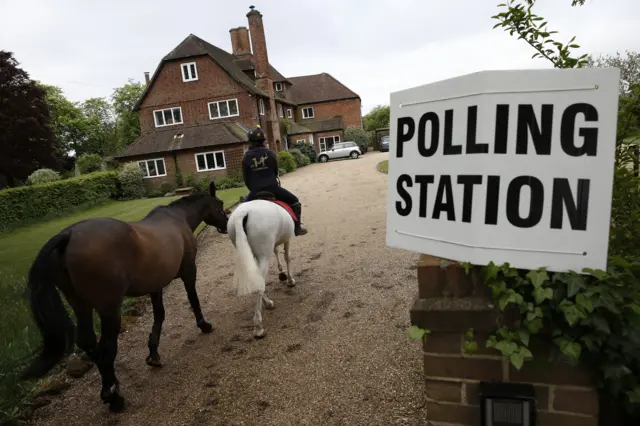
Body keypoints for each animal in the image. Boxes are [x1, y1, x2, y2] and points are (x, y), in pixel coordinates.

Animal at [20, 181, 230, 412]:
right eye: (220, 204)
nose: (227, 224)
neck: (178, 218)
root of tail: (69, 235)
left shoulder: (155, 285)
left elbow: (159, 315)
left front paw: (153, 354)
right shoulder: (189, 271)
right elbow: (193, 299)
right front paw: (204, 325)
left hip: (80, 304)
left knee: (87, 342)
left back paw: (110, 386)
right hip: (109, 308)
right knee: (105, 346)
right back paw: (113, 395)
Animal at [226, 198, 296, 338]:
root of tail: (243, 213)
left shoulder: (274, 243)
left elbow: (276, 251)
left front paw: (282, 272)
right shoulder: (287, 240)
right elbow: (287, 257)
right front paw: (290, 280)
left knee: (256, 278)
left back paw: (267, 303)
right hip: (263, 254)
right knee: (259, 284)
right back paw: (258, 326)